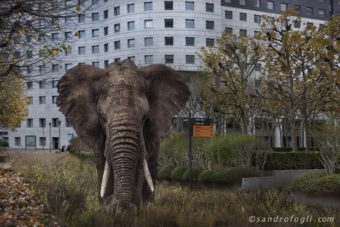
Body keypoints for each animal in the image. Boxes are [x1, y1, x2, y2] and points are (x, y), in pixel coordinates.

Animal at [57, 59, 191, 210]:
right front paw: (107, 208)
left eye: (145, 117)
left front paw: (130, 210)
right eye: (102, 117)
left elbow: (140, 165)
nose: (117, 202)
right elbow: (103, 165)